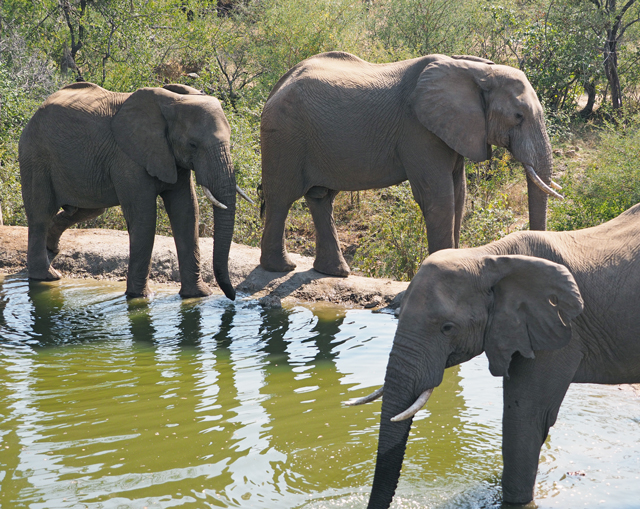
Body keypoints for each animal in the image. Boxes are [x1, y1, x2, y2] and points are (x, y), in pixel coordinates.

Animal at [17, 81, 248, 300]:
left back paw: (52, 249)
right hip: (35, 155)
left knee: (88, 210)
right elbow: (144, 216)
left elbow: (187, 211)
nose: (232, 296)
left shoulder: (172, 157)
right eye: (192, 144)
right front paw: (141, 297)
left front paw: (198, 295)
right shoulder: (128, 158)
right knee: (40, 214)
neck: (170, 105)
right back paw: (47, 276)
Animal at [258, 49, 560, 276]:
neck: (476, 71)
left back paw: (335, 272)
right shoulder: (418, 130)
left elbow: (459, 195)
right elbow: (439, 198)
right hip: (285, 135)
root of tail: (277, 85)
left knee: (321, 198)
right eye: (518, 116)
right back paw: (280, 268)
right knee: (282, 196)